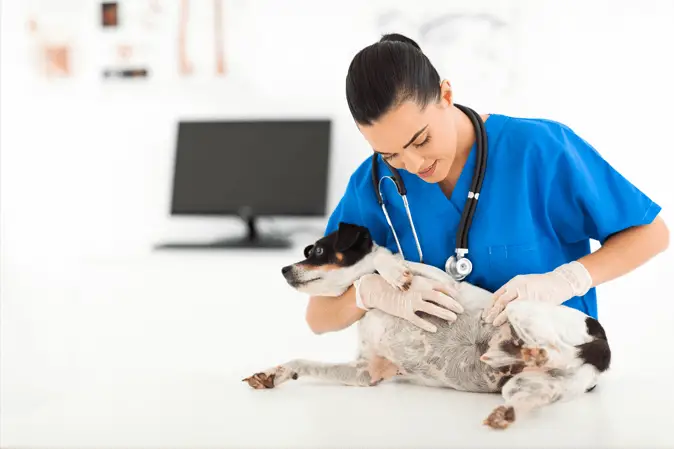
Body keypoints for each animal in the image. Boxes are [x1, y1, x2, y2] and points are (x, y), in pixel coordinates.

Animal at [243, 222, 608, 428]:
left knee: (551, 347)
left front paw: (392, 275)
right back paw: (506, 399)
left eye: (316, 250)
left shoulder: (445, 286)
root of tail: (600, 351)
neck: (377, 311)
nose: (284, 269)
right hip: (529, 387)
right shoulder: (367, 373)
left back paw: (519, 351)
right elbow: (301, 361)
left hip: (519, 308)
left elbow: (382, 260)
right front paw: (273, 373)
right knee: (529, 394)